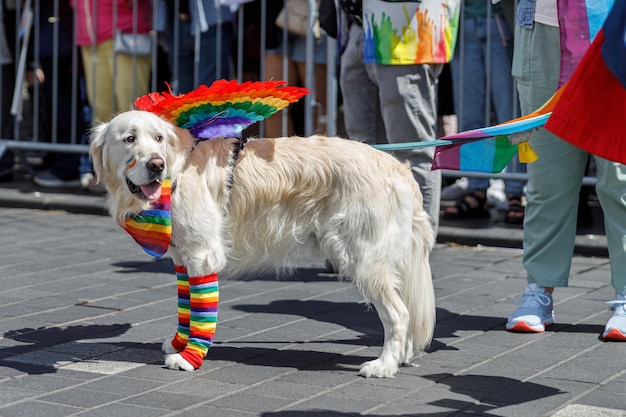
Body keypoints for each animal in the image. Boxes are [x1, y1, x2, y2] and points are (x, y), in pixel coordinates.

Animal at [89, 109, 434, 376]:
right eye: (129, 138)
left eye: (159, 138)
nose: (156, 164)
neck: (178, 170)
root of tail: (398, 168)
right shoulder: (184, 259)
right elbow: (185, 309)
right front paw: (178, 343)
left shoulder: (202, 255)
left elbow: (200, 315)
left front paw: (189, 358)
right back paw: (400, 358)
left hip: (363, 259)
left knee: (398, 314)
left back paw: (383, 365)